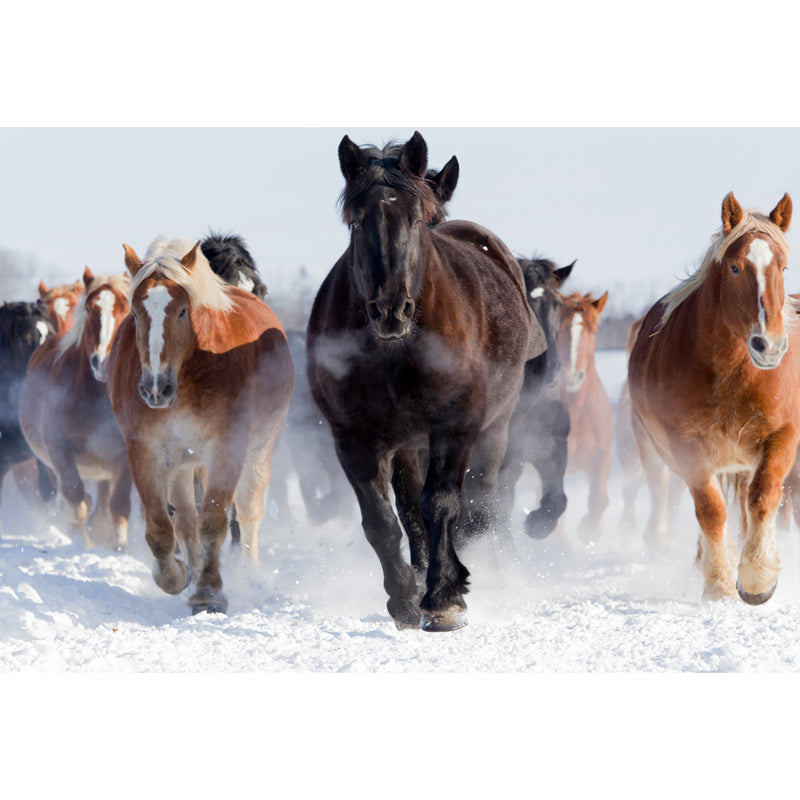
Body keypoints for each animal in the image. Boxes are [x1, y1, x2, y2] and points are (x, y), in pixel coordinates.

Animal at [19, 268, 133, 550]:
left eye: (127, 309)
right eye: (90, 309)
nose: (103, 362)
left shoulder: (126, 454)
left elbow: (119, 503)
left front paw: (118, 547)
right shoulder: (59, 450)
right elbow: (74, 498)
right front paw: (82, 541)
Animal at [108, 237, 294, 615]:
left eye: (182, 310)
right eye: (135, 313)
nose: (155, 389)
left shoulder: (226, 449)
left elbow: (214, 520)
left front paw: (209, 593)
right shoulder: (145, 451)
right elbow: (161, 526)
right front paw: (178, 576)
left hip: (258, 450)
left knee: (248, 513)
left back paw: (249, 574)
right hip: (183, 461)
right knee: (184, 518)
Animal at [306, 131, 545, 631]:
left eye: (416, 219)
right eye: (356, 221)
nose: (390, 309)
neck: (397, 351)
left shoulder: (454, 426)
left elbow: (443, 505)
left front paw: (444, 597)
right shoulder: (355, 439)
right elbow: (383, 520)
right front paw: (404, 596)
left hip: (494, 428)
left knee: (480, 504)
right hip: (407, 443)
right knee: (412, 508)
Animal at [628, 192, 799, 605]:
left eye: (783, 266)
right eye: (735, 267)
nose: (769, 346)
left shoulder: (782, 436)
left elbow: (763, 497)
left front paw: (757, 578)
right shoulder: (687, 447)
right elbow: (710, 510)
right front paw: (719, 583)